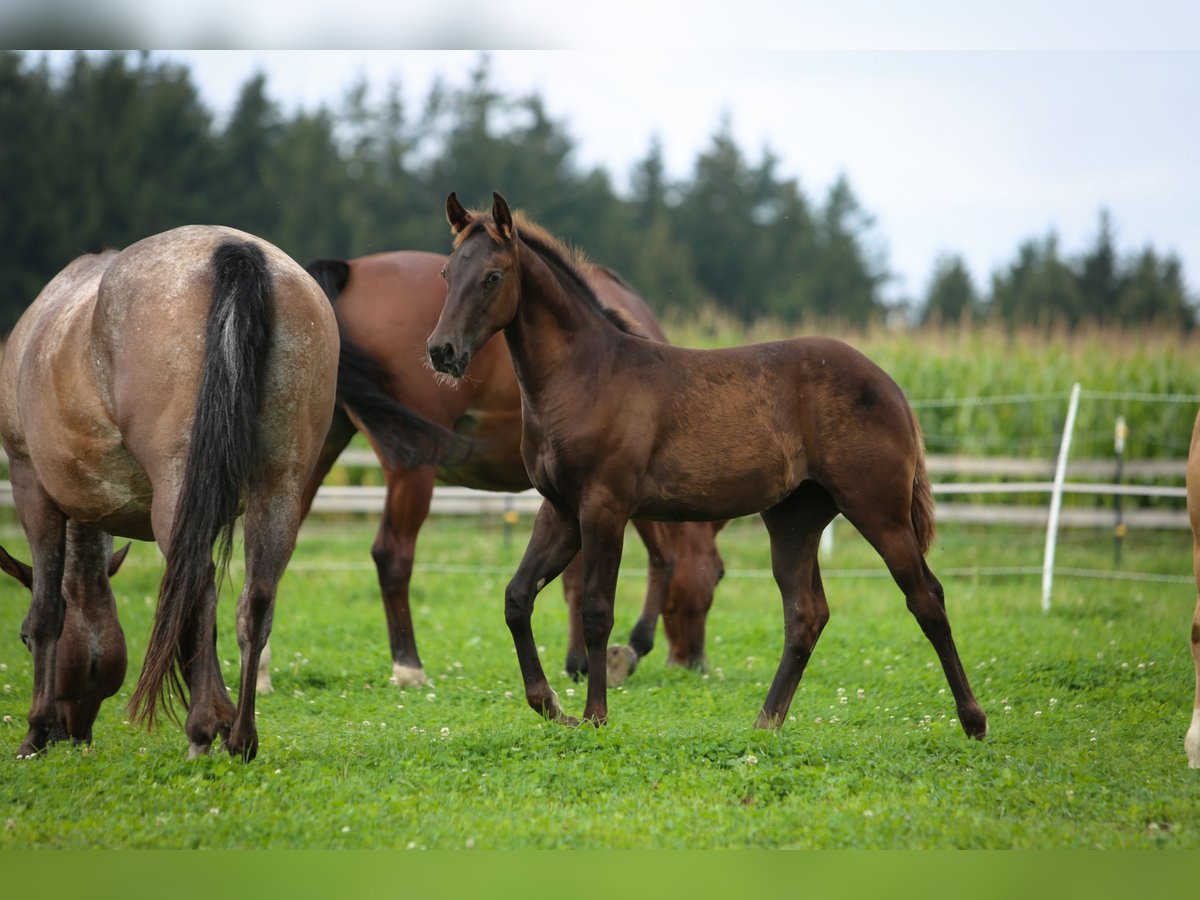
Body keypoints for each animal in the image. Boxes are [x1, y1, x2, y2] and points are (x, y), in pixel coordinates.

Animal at [0, 225, 451, 763]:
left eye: (20, 642)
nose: (75, 732)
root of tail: (236, 252)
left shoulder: (30, 484)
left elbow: (49, 610)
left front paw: (35, 731)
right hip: (278, 489)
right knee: (254, 600)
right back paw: (241, 736)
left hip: (177, 492)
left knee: (197, 587)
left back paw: (203, 728)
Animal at [288, 252, 720, 691]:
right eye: (718, 575)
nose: (694, 662)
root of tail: (351, 270)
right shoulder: (613, 483)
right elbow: (663, 557)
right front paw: (629, 649)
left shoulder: (577, 493)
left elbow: (574, 577)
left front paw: (578, 660)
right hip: (411, 463)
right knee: (392, 554)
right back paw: (409, 665)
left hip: (314, 448)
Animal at [427, 194, 988, 744]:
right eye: (448, 273)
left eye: (493, 276)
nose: (441, 350)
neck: (587, 375)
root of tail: (892, 387)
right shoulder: (561, 508)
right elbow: (517, 596)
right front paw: (549, 705)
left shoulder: (605, 506)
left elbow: (596, 609)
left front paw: (594, 716)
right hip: (795, 519)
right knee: (806, 615)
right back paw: (766, 723)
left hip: (879, 511)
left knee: (926, 598)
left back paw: (974, 721)